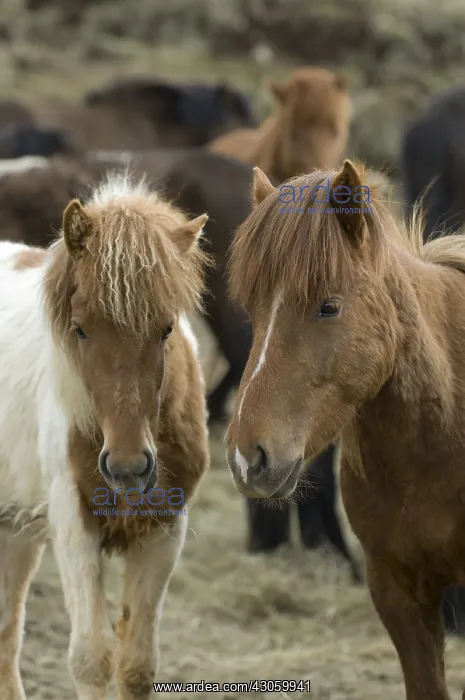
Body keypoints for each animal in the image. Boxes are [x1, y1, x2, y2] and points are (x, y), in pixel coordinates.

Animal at [0, 172, 210, 699]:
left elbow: (136, 666)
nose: (129, 468)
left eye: (166, 329)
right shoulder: (74, 525)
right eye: (79, 329)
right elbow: (91, 660)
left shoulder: (163, 532)